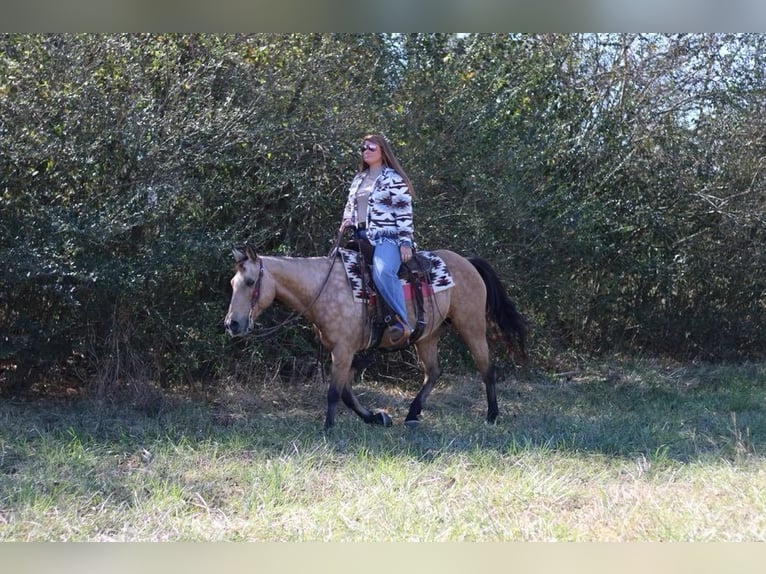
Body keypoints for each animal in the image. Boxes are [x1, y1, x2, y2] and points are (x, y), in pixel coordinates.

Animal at [224, 245, 528, 430]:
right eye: (232, 283)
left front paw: (328, 428)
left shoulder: (343, 350)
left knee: (486, 367)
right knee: (433, 372)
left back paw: (492, 414)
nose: (232, 324)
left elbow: (335, 392)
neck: (323, 288)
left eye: (250, 282)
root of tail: (468, 262)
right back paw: (412, 414)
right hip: (427, 336)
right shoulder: (345, 351)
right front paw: (377, 417)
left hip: (471, 325)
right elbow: (347, 393)